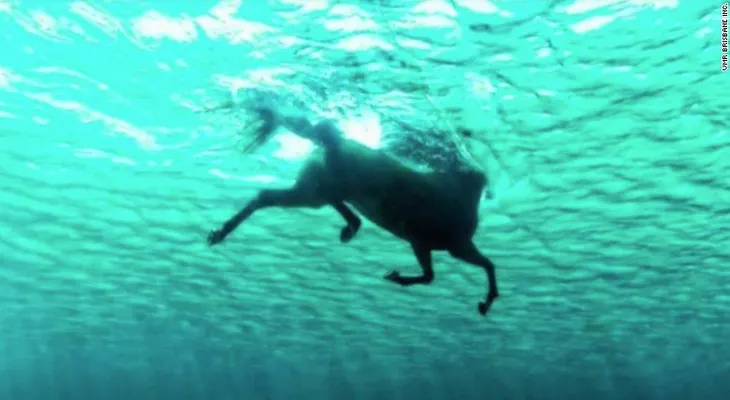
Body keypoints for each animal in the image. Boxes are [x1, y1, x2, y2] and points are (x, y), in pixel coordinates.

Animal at [206, 106, 499, 315]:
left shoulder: (433, 244)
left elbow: (442, 273)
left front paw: (484, 303)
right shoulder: (447, 244)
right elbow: (462, 269)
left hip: (313, 191)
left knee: (269, 196)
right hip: (320, 189)